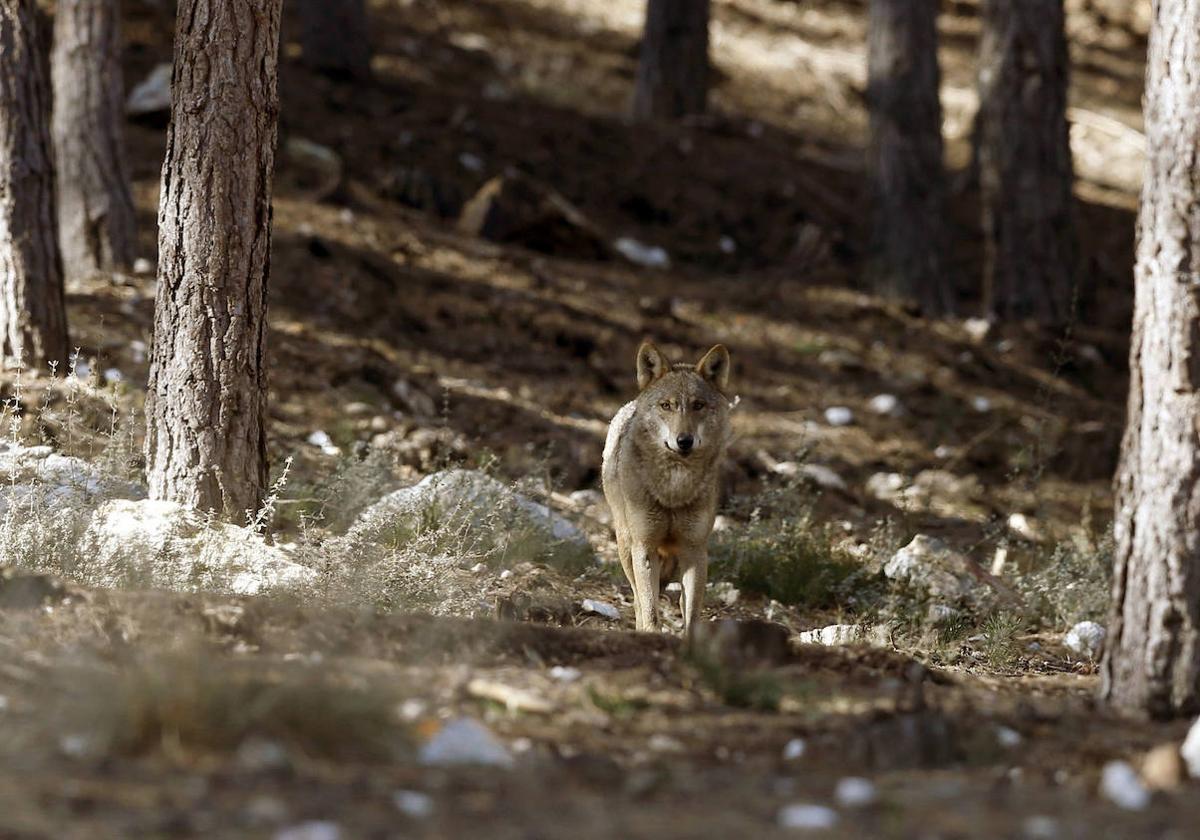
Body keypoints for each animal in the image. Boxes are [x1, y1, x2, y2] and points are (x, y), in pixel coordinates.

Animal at [600, 338, 729, 633]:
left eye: (698, 405)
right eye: (666, 405)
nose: (684, 440)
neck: (674, 489)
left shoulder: (695, 550)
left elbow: (691, 616)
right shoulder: (645, 547)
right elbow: (650, 611)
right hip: (626, 547)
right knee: (638, 601)